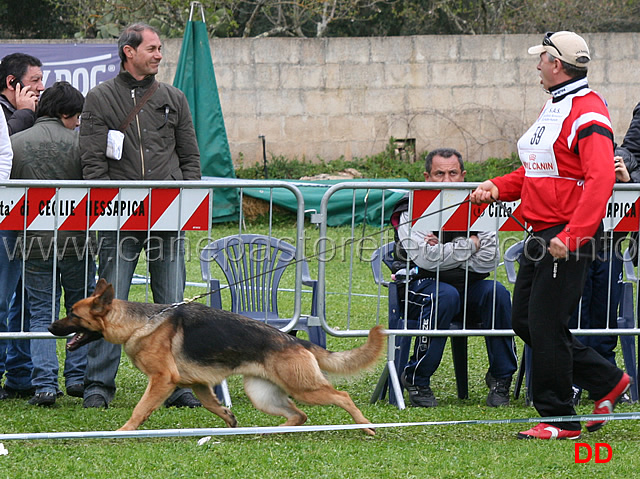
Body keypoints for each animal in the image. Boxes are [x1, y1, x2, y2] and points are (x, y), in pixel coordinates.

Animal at [48, 280, 384, 436]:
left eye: (72, 314)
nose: (50, 327)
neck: (137, 322)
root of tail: (294, 339)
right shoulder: (198, 384)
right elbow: (213, 404)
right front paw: (228, 419)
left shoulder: (162, 380)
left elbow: (140, 409)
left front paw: (124, 432)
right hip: (263, 395)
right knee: (299, 415)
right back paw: (270, 431)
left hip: (305, 388)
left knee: (342, 397)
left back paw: (365, 426)